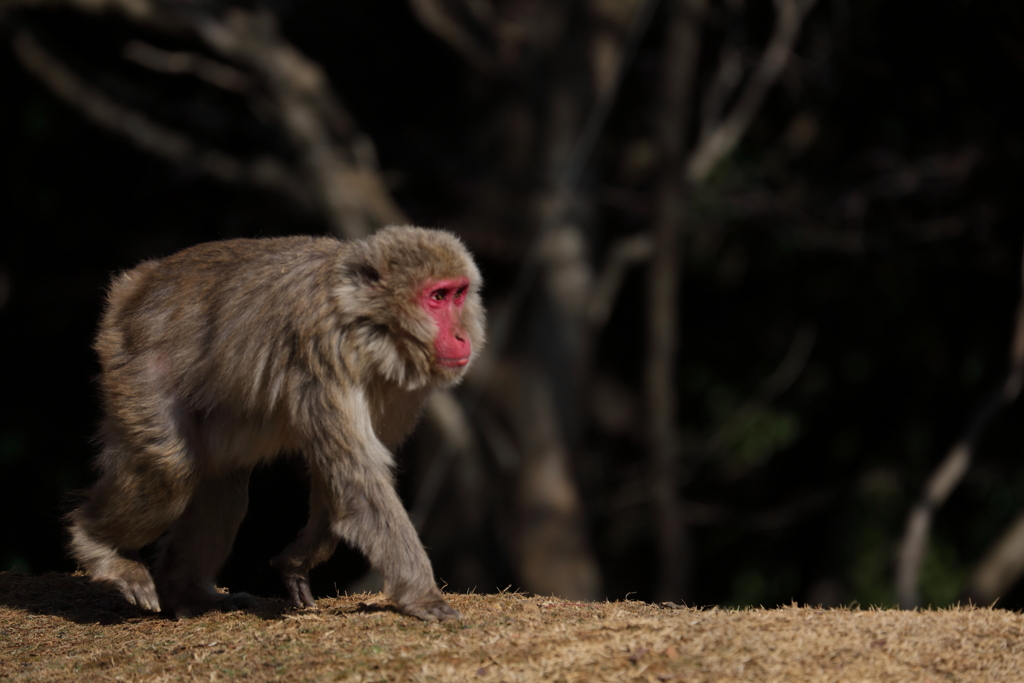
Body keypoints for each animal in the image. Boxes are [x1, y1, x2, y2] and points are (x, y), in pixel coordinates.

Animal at [67, 227, 483, 622]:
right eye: (436, 297)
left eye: (459, 294)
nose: (461, 336)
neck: (368, 323)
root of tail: (136, 283)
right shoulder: (325, 353)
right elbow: (358, 481)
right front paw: (421, 595)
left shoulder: (400, 394)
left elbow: (337, 477)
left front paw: (297, 561)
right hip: (136, 362)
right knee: (169, 469)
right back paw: (98, 544)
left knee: (222, 484)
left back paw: (185, 593)